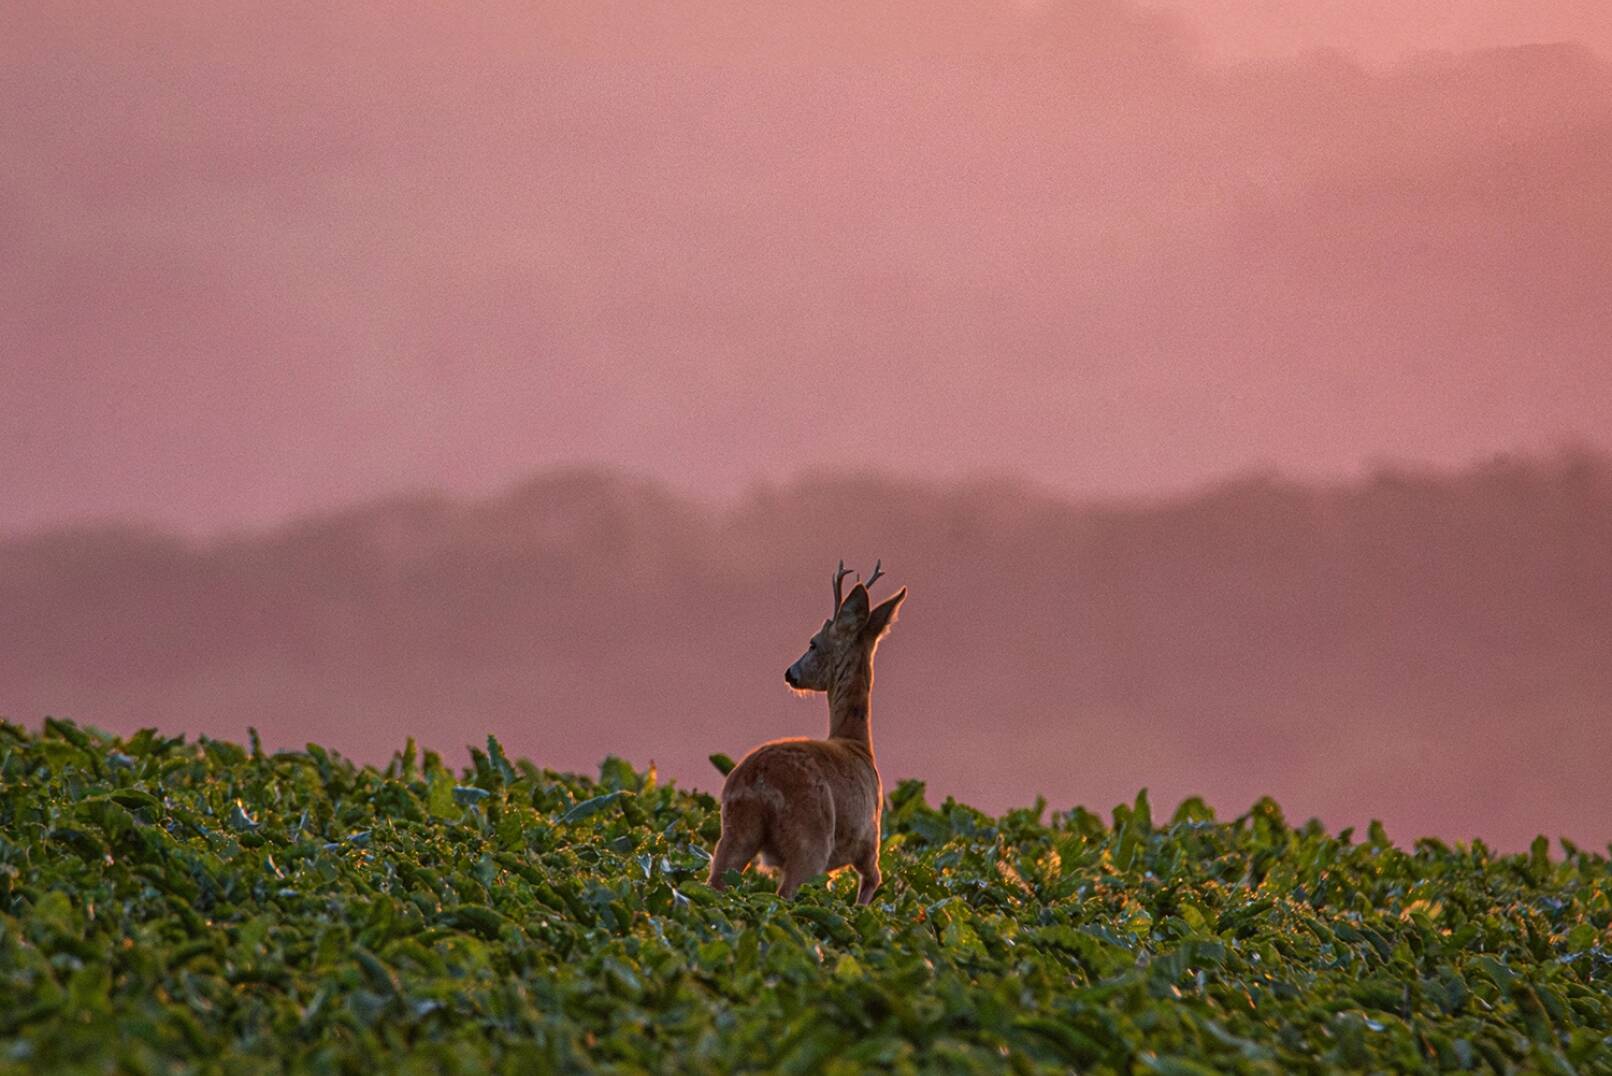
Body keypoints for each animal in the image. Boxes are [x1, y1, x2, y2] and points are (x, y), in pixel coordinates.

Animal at [709, 561, 909, 903]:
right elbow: (872, 883)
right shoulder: (870, 840)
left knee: (713, 882)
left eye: (812, 643)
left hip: (736, 829)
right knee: (786, 892)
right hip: (811, 838)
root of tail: (757, 782)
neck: (856, 743)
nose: (790, 673)